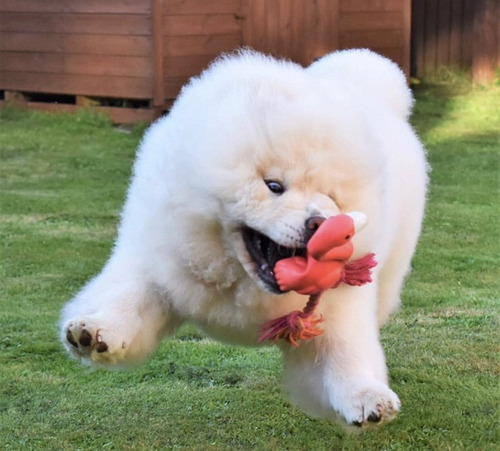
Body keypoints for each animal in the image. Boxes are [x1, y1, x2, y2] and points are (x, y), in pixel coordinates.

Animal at [60, 49, 428, 428]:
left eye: (332, 198)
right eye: (274, 186)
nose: (322, 223)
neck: (237, 277)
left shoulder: (340, 303)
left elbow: (347, 353)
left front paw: (368, 399)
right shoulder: (159, 259)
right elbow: (126, 300)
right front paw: (91, 333)